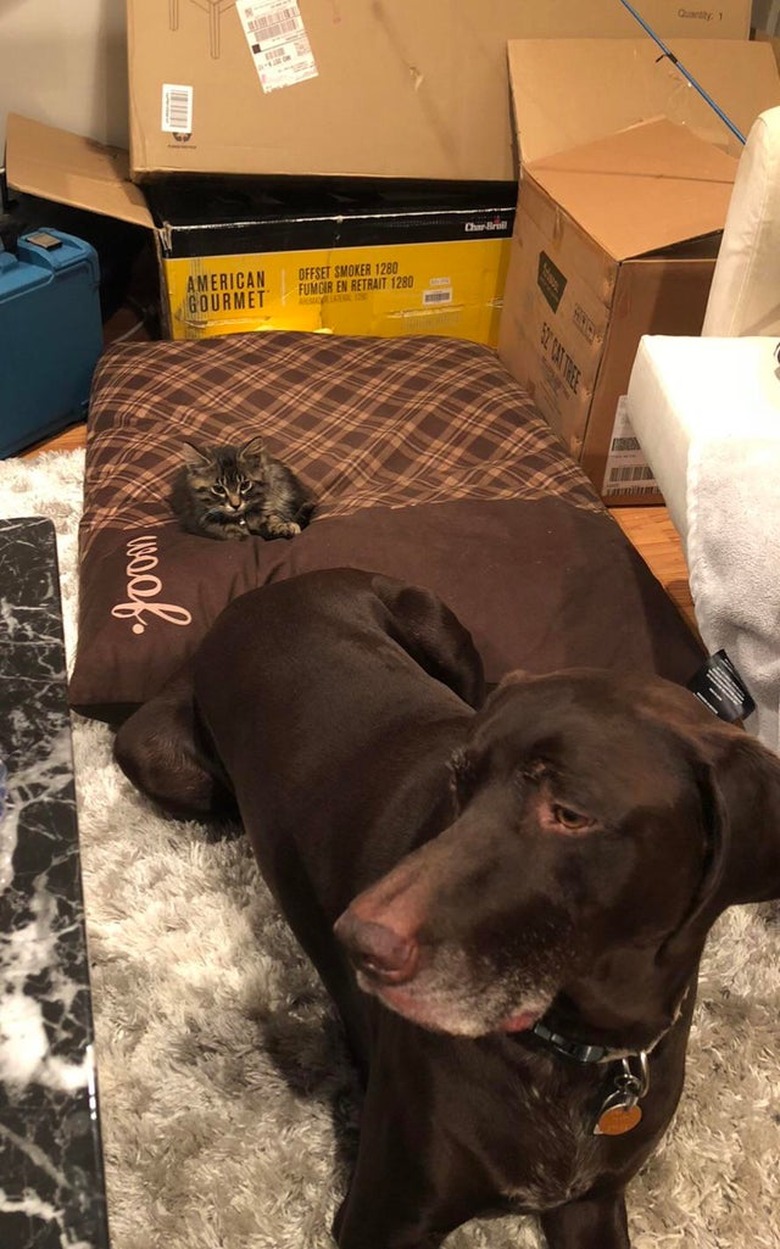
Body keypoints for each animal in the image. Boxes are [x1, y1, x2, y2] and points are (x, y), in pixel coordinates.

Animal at [170, 437, 313, 539]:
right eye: (219, 489)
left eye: (245, 485)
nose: (236, 505)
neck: (241, 519)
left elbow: (272, 518)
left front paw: (282, 527)